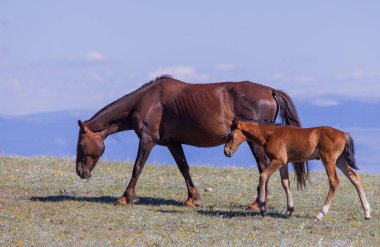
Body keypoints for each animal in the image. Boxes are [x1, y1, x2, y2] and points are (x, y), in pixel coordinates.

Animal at [226, 117, 372, 220]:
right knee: (354, 178)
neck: (270, 134)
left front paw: (262, 207)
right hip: (340, 161)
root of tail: (344, 134)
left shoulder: (278, 160)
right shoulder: (284, 163)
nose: (226, 152)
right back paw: (367, 213)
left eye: (231, 135)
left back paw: (320, 214)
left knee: (334, 181)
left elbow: (263, 176)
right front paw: (288, 211)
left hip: (329, 160)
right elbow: (285, 183)